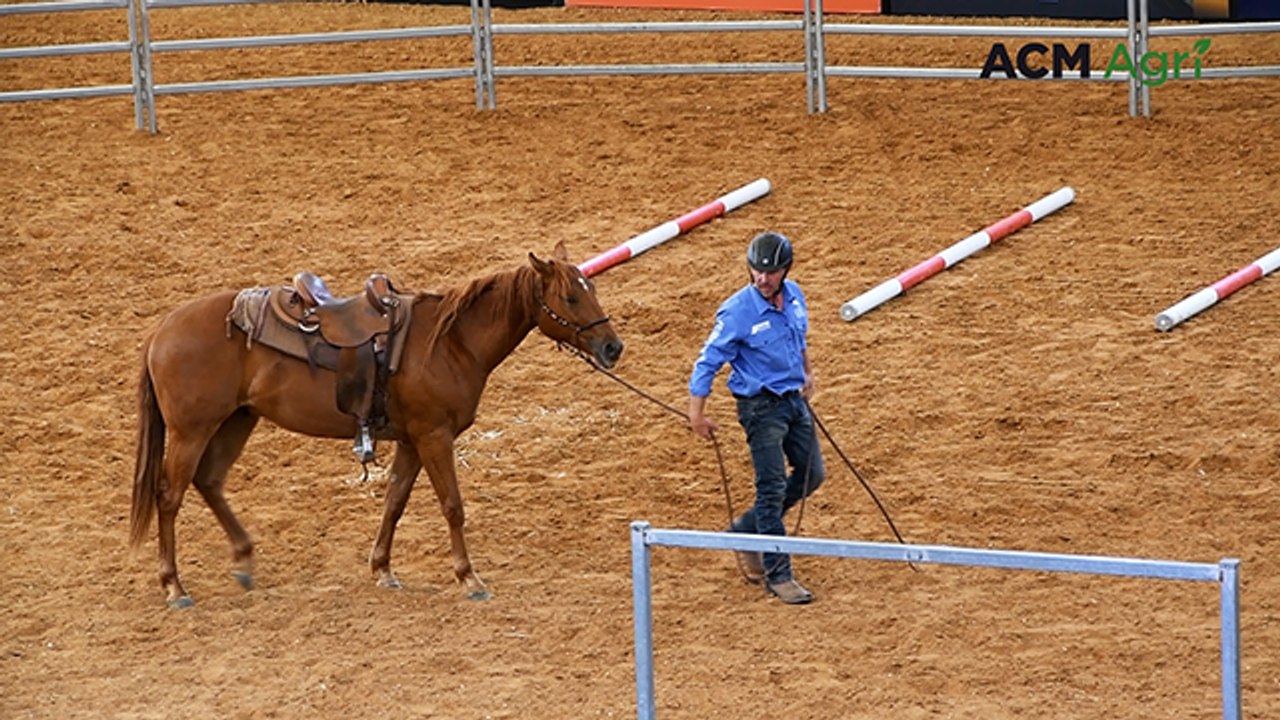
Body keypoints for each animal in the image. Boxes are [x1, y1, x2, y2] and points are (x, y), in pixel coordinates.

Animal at [130, 243, 624, 608]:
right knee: (169, 495)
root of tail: (161, 331)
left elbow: (394, 502)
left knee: (209, 481)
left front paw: (383, 569)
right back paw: (175, 586)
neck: (449, 342)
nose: (612, 347)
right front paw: (469, 578)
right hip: (192, 430)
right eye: (571, 296)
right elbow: (452, 505)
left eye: (592, 290)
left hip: (236, 421)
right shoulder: (434, 436)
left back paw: (244, 560)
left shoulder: (411, 440)